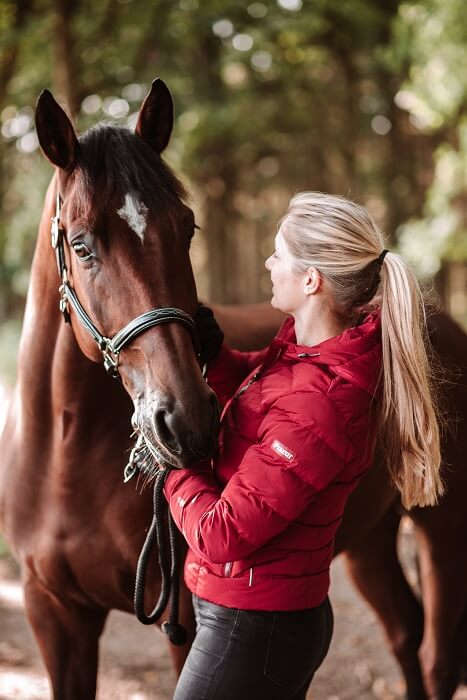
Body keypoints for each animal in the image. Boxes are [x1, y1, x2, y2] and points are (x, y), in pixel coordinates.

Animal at [0, 78, 467, 700]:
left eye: (187, 227)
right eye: (81, 246)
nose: (187, 421)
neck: (63, 455)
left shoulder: (184, 619)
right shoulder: (53, 613)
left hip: (444, 528)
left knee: (438, 655)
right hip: (370, 540)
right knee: (403, 629)